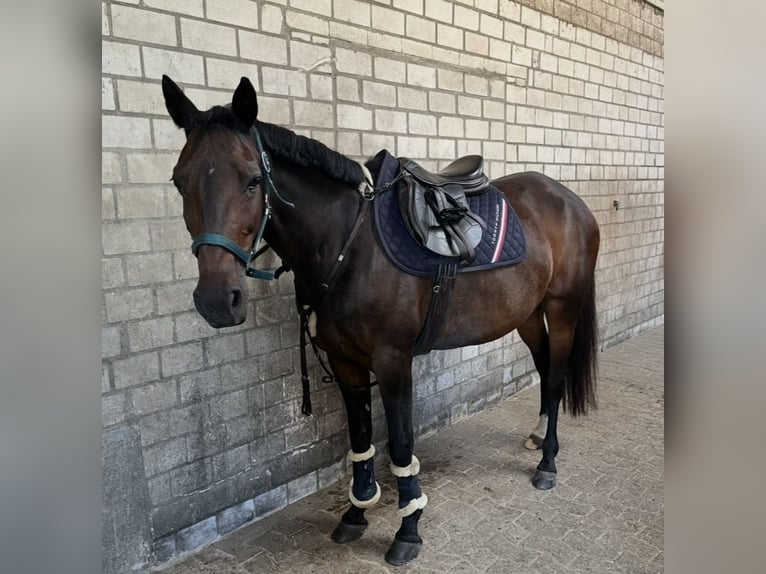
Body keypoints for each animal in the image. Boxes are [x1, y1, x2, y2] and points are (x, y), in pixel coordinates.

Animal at [161, 75, 600, 566]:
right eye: (179, 181)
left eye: (254, 180)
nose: (218, 301)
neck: (348, 246)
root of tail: (569, 200)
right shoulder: (346, 362)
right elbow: (360, 438)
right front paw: (356, 513)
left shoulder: (393, 362)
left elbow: (402, 443)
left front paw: (408, 530)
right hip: (527, 314)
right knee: (544, 370)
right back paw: (538, 437)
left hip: (562, 309)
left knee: (557, 376)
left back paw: (548, 463)